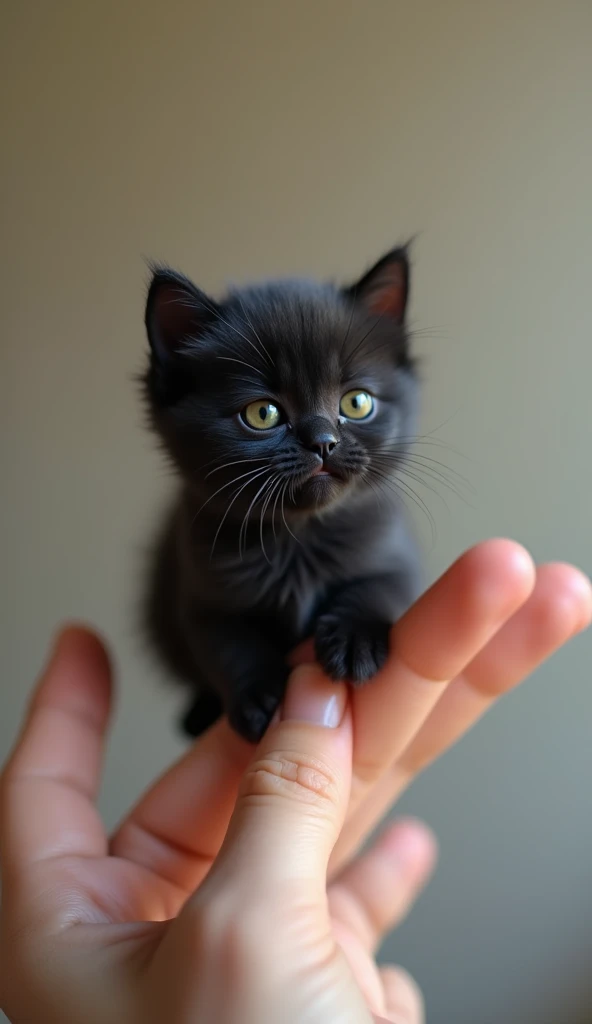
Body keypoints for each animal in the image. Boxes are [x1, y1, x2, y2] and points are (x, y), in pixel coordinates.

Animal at [141, 247, 419, 745]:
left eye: (357, 403)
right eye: (263, 413)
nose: (323, 442)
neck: (299, 539)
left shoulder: (396, 549)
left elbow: (385, 584)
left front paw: (354, 640)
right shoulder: (198, 588)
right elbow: (225, 643)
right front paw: (256, 695)